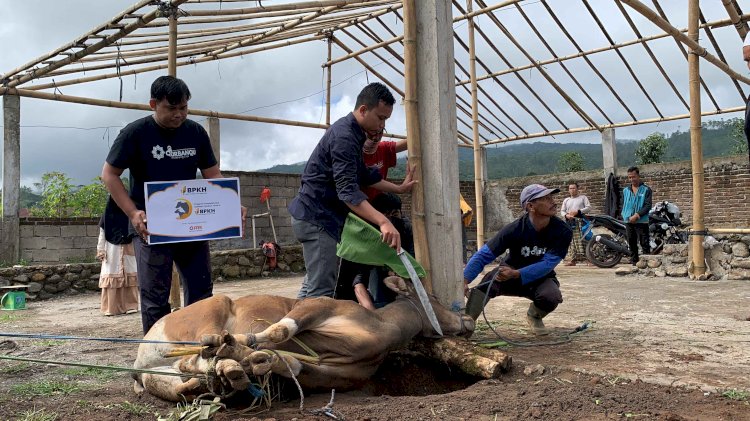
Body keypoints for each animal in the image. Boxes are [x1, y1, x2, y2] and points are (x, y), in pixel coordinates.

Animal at [134, 276, 476, 400]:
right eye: (434, 296)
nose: (469, 320)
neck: (382, 326)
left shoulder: (331, 374)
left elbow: (291, 364)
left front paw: (256, 358)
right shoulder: (319, 305)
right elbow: (281, 329)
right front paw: (248, 341)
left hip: (167, 380)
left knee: (188, 381)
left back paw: (225, 369)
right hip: (212, 308)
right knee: (200, 350)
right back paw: (223, 352)